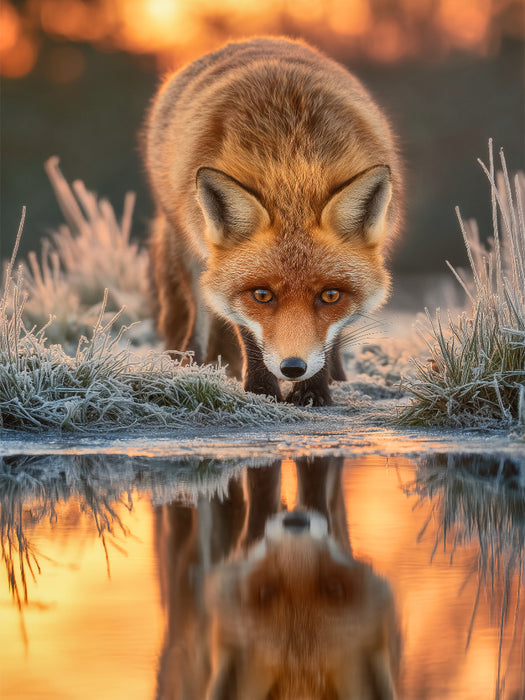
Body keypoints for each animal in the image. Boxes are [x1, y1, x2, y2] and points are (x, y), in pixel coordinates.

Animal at [144, 37, 402, 406]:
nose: (293, 368)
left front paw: (314, 391)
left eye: (330, 296)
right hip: (188, 246)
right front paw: (262, 390)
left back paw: (338, 378)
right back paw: (189, 366)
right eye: (262, 295)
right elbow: (247, 333)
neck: (292, 167)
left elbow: (328, 339)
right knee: (198, 316)